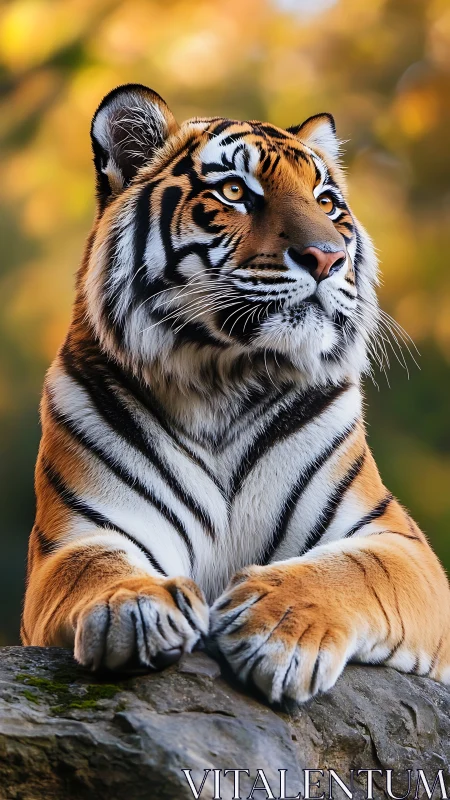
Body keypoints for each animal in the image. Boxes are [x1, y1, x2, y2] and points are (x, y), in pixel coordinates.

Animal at [22, 83, 450, 705]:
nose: (328, 257)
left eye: (327, 202)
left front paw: (278, 625)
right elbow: (96, 567)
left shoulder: (397, 540)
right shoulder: (76, 536)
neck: (224, 381)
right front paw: (136, 607)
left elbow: (353, 572)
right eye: (234, 192)